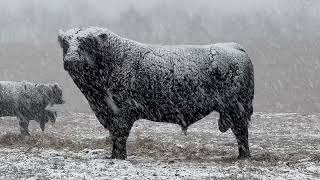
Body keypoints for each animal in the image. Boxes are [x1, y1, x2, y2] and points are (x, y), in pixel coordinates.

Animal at [58, 26, 255, 159]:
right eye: (65, 43)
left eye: (86, 42)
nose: (71, 60)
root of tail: (234, 47)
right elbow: (114, 136)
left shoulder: (121, 113)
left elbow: (120, 135)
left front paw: (119, 157)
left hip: (237, 108)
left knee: (241, 132)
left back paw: (243, 156)